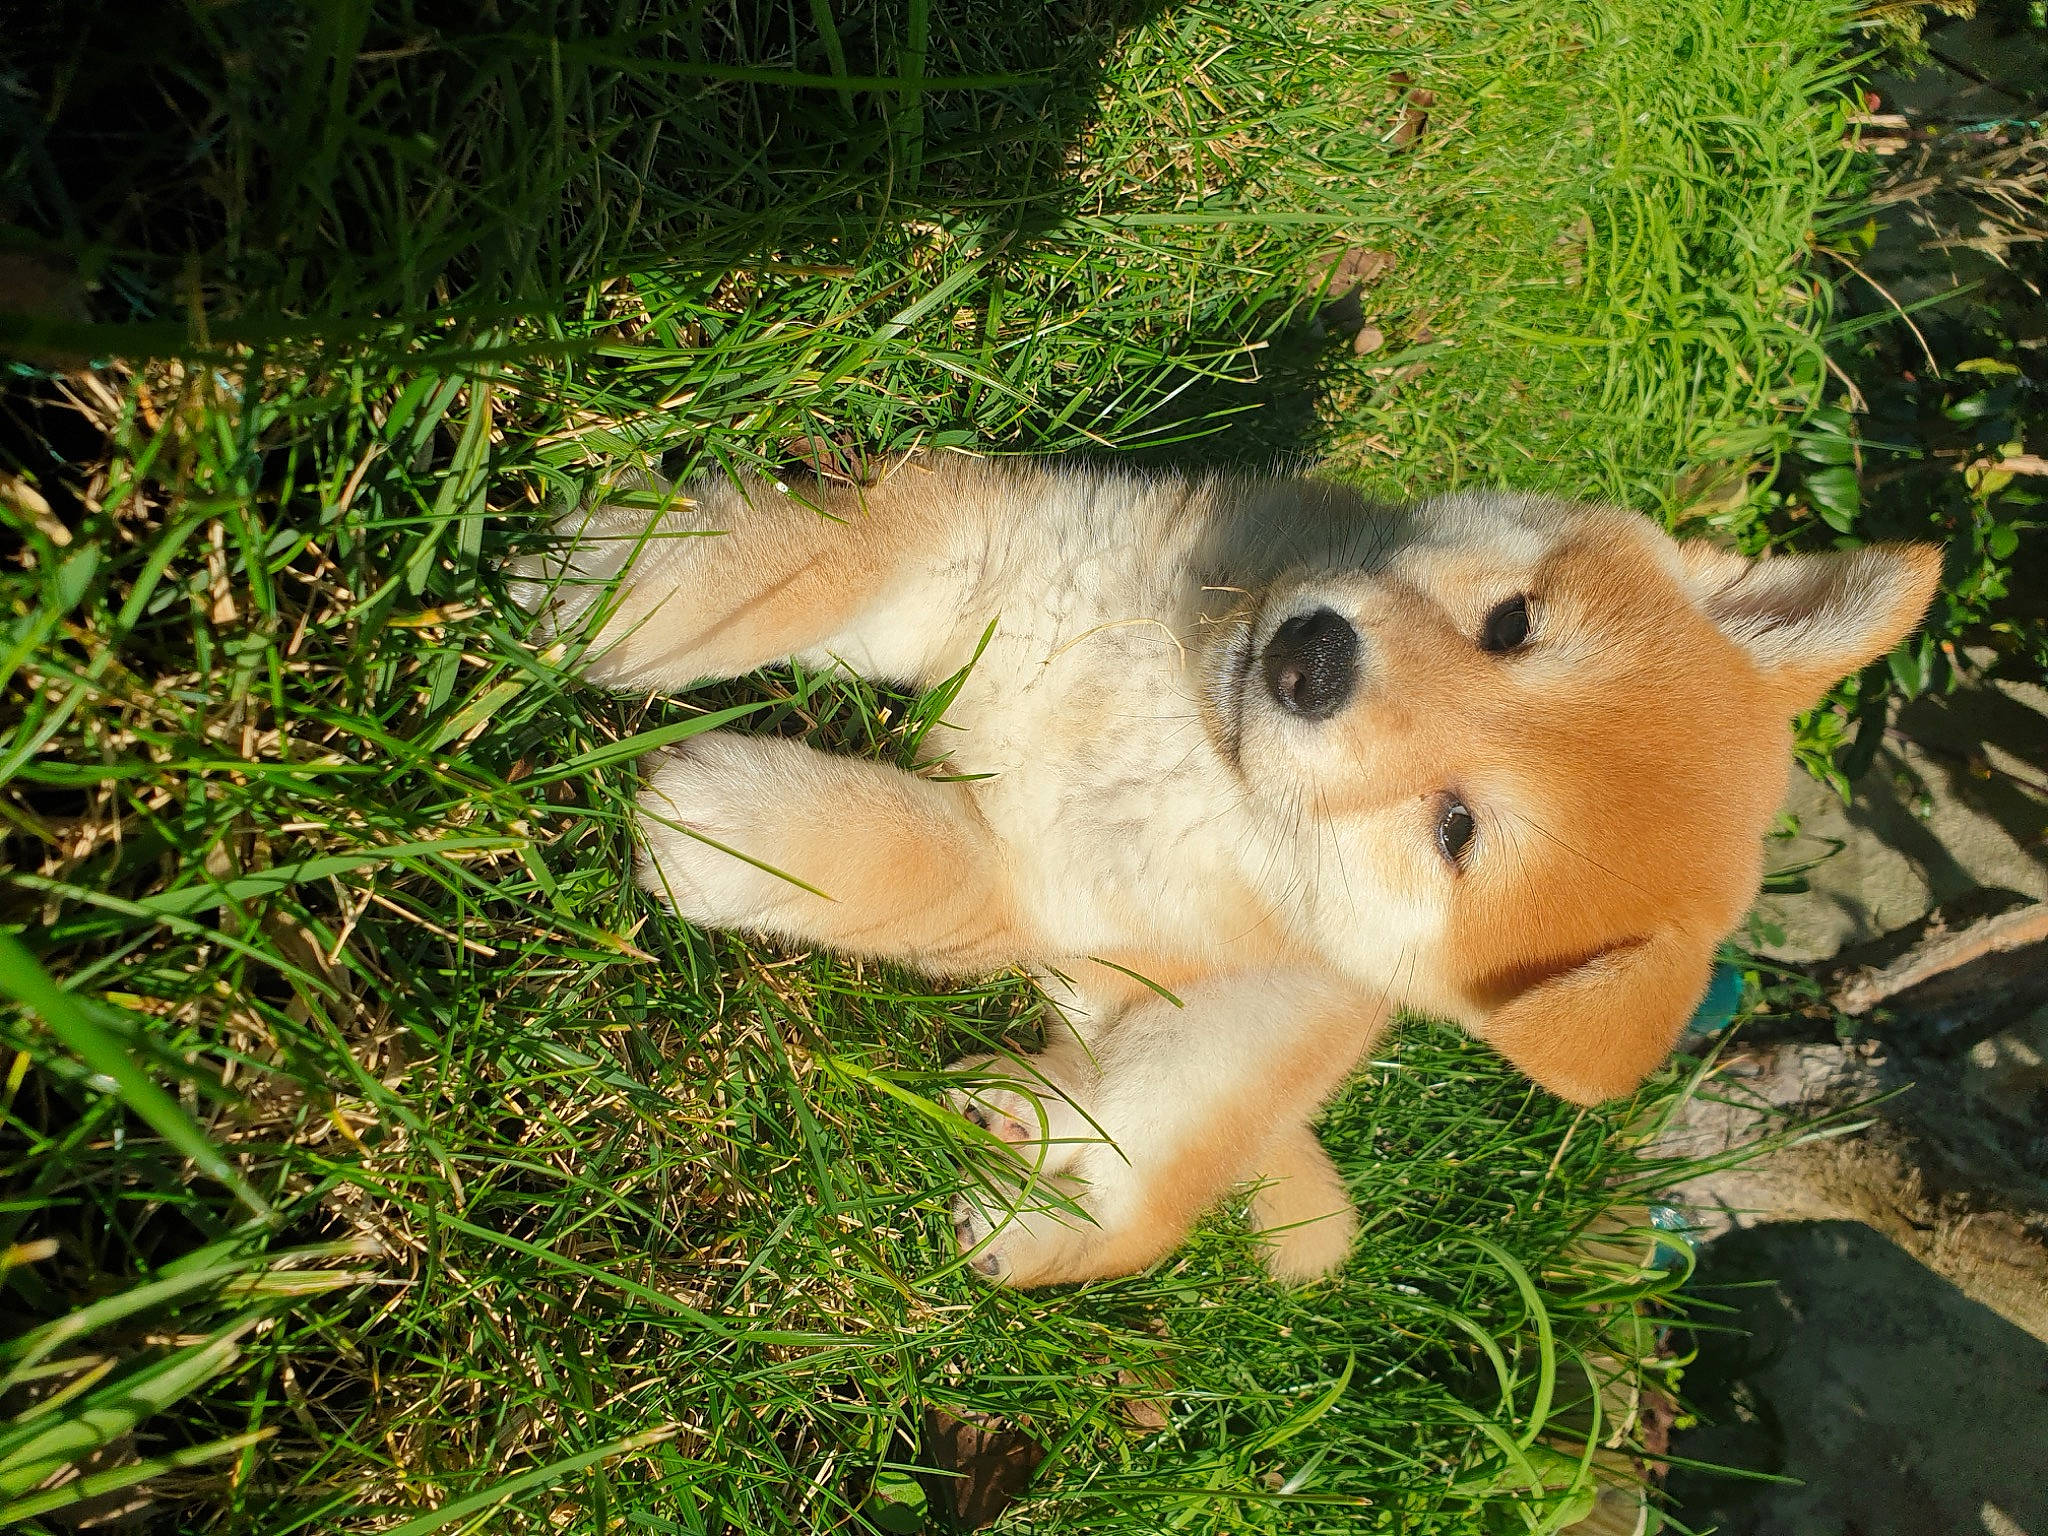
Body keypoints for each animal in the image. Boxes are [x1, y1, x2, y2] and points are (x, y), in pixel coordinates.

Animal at [514, 454, 1940, 1288]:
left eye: (1456, 830)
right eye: (1510, 624)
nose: (1311, 658)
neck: (1174, 719)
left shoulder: (1025, 876)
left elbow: (895, 848)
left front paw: (725, 827)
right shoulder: (978, 547)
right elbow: (799, 563)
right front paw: (629, 584)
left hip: (1219, 1051)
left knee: (1132, 1197)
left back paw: (1011, 1212)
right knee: (1079, 1091)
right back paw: (1006, 1106)